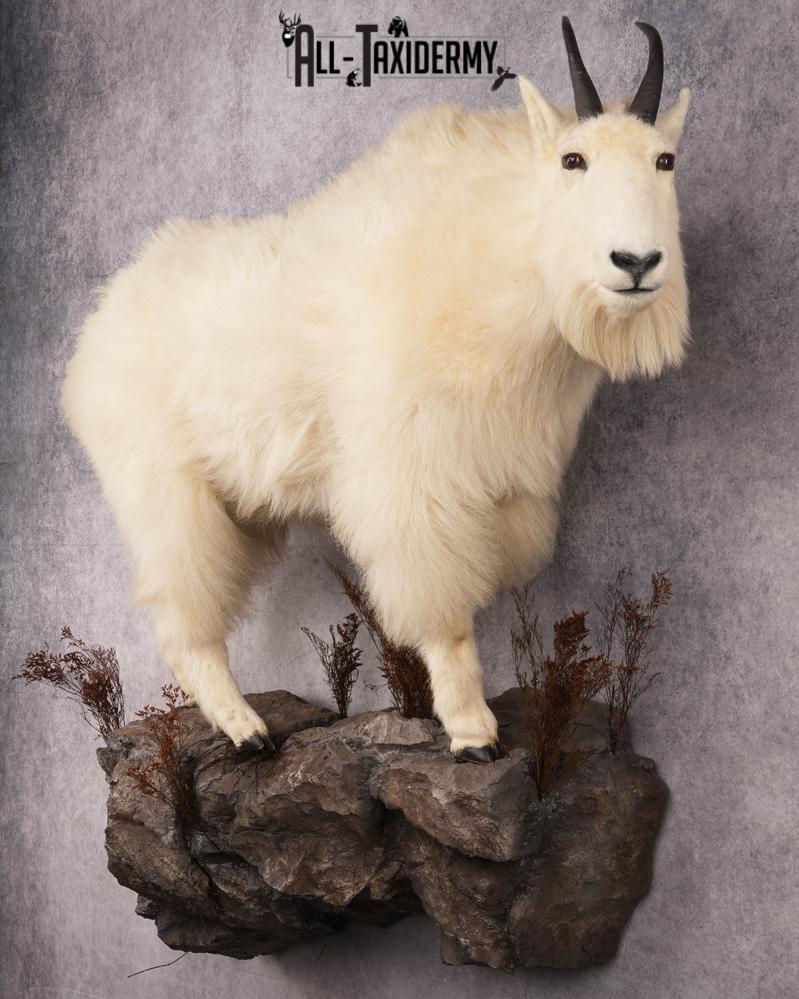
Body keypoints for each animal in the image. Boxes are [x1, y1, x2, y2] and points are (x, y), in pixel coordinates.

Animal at [61, 18, 691, 762]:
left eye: (665, 160)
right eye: (573, 159)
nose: (636, 262)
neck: (504, 268)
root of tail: (95, 333)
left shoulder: (510, 473)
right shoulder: (414, 482)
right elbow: (444, 615)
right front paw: (471, 731)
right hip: (166, 497)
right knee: (184, 623)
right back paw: (246, 730)